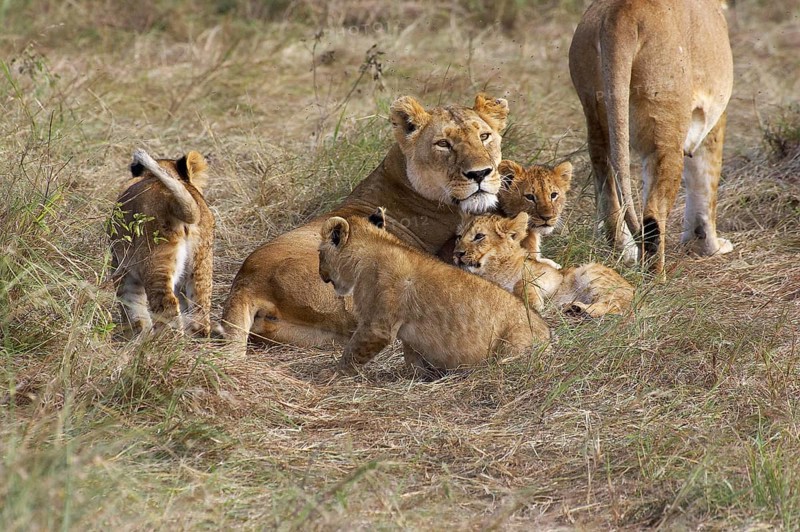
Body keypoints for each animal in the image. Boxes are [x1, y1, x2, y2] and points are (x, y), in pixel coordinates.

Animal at [108, 149, 214, 336]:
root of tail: (173, 201)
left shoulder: (121, 266)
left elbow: (132, 306)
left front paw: (137, 336)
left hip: (155, 260)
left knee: (167, 306)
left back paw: (161, 341)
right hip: (202, 265)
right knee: (199, 317)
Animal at [318, 209, 550, 377]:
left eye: (319, 253)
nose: (320, 273)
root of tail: (548, 335)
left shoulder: (377, 326)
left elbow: (351, 353)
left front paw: (331, 376)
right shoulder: (409, 338)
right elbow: (412, 358)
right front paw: (417, 378)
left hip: (513, 344)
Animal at [454, 212, 634, 317]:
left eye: (479, 236)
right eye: (459, 237)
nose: (457, 253)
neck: (492, 271)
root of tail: (633, 289)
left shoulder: (552, 276)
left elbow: (523, 281)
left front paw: (534, 304)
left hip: (589, 272)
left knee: (615, 306)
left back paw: (578, 308)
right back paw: (573, 308)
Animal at [569, 0, 734, 273]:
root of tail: (621, 13)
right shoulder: (711, 119)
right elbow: (705, 184)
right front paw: (709, 247)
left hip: (596, 120)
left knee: (610, 198)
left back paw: (623, 255)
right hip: (666, 132)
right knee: (653, 217)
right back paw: (656, 278)